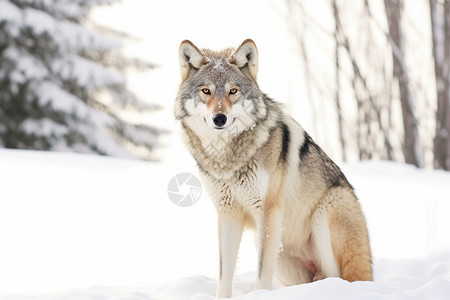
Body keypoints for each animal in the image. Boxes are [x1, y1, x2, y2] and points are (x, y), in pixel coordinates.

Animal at [174, 39, 370, 298]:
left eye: (233, 91)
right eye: (206, 91)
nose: (220, 119)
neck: (228, 158)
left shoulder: (267, 212)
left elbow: (260, 274)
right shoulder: (228, 215)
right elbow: (224, 275)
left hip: (324, 216)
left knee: (339, 278)